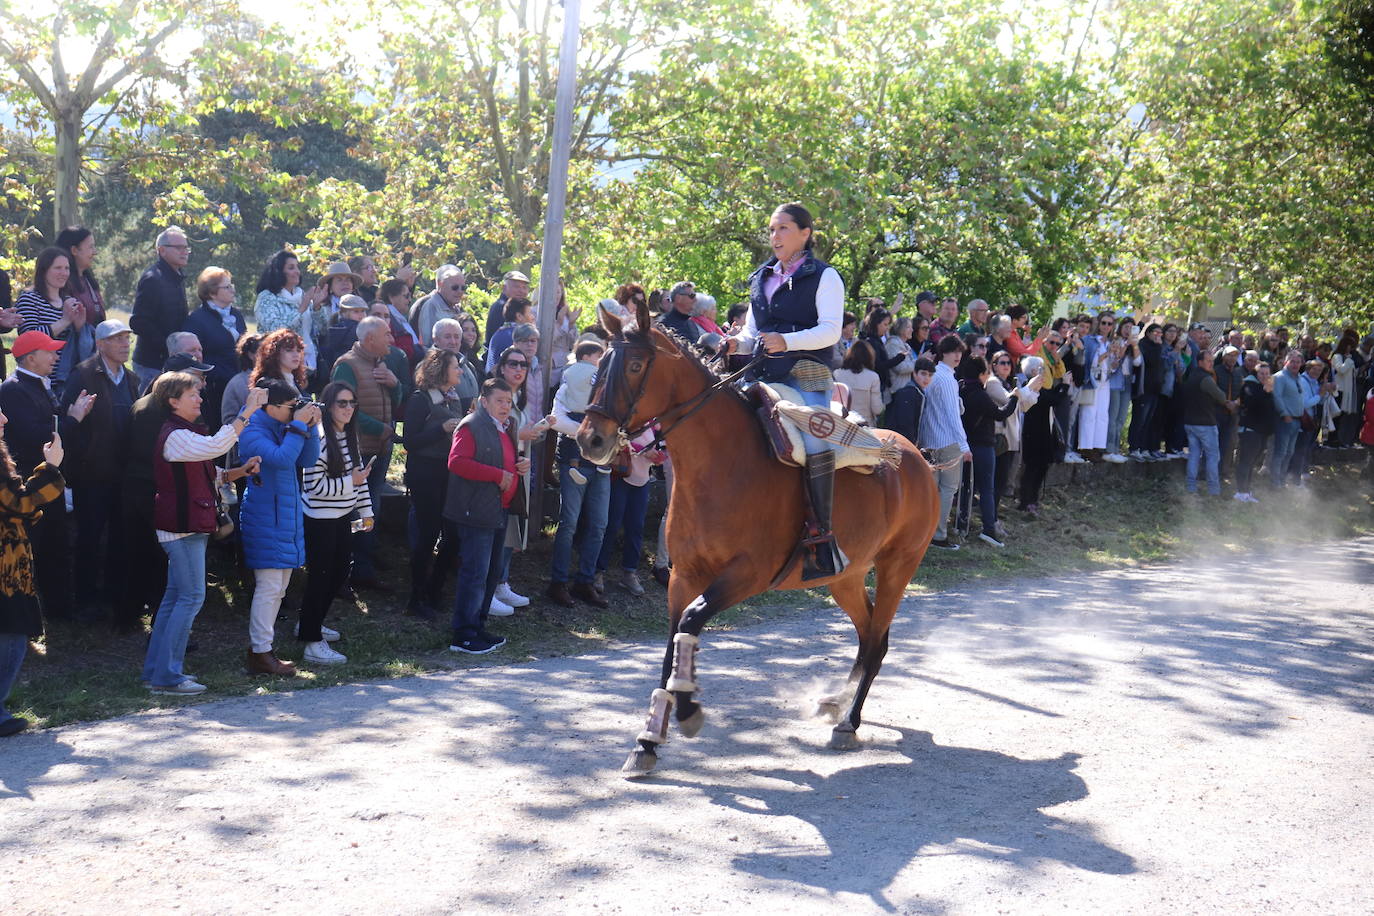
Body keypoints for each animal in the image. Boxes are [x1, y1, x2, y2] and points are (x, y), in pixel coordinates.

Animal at [574, 299, 939, 774]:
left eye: (635, 365)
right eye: (599, 363)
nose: (590, 440)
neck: (722, 462)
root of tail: (916, 457)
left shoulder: (747, 575)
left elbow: (690, 622)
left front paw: (688, 711)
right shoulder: (682, 577)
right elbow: (672, 641)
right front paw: (648, 739)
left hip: (898, 566)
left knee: (877, 640)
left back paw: (849, 722)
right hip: (846, 576)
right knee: (867, 636)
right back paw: (836, 704)